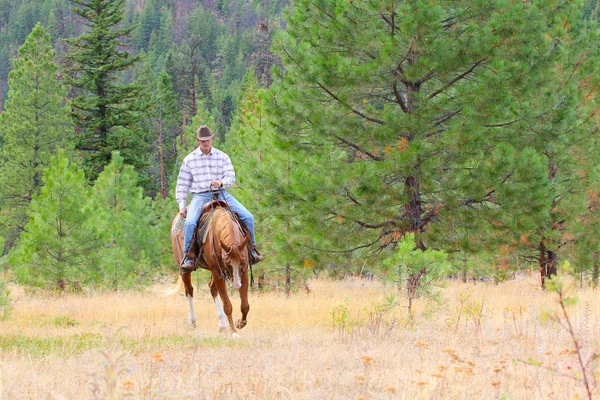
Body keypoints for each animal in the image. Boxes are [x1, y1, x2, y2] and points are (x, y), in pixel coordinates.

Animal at [170, 203, 250, 338]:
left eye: (241, 262)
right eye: (227, 264)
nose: (236, 285)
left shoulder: (243, 272)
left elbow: (245, 305)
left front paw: (240, 323)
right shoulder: (218, 271)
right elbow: (227, 305)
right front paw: (234, 332)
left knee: (212, 288)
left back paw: (222, 324)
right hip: (185, 269)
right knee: (189, 290)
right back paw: (193, 321)